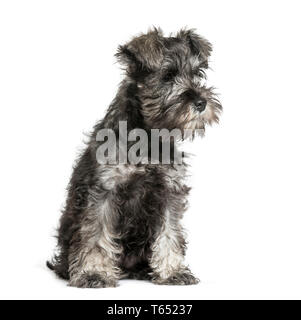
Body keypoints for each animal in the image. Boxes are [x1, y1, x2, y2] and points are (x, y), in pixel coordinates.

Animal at [47, 28, 220, 288]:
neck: (147, 136)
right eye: (167, 76)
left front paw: (172, 272)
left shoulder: (169, 192)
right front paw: (94, 273)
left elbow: (170, 234)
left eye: (197, 74)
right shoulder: (103, 192)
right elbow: (95, 235)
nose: (201, 102)